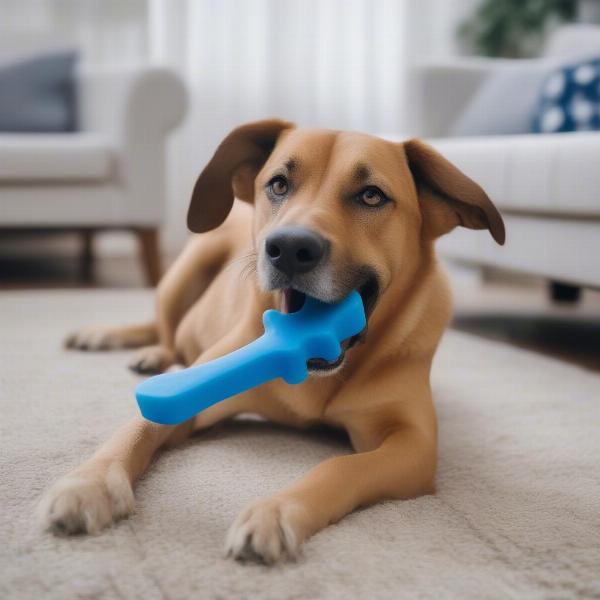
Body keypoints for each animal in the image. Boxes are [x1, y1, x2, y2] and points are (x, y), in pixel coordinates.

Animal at [36, 120, 506, 564]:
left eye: (372, 196)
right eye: (278, 184)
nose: (290, 247)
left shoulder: (413, 444)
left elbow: (341, 468)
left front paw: (277, 512)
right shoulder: (198, 386)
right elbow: (137, 427)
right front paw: (90, 483)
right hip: (185, 270)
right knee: (166, 331)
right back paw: (133, 346)